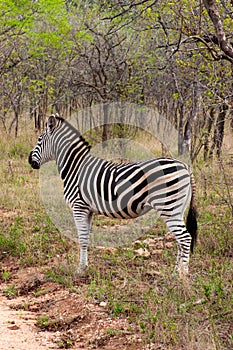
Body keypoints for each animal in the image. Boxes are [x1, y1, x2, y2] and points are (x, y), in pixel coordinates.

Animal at [28, 115, 198, 276]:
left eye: (39, 139)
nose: (30, 161)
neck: (75, 168)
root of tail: (184, 166)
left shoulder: (78, 207)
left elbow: (81, 239)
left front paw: (80, 269)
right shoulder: (88, 210)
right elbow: (86, 238)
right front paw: (85, 266)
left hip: (169, 207)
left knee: (185, 238)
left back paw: (182, 275)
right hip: (177, 209)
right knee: (181, 240)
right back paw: (175, 272)